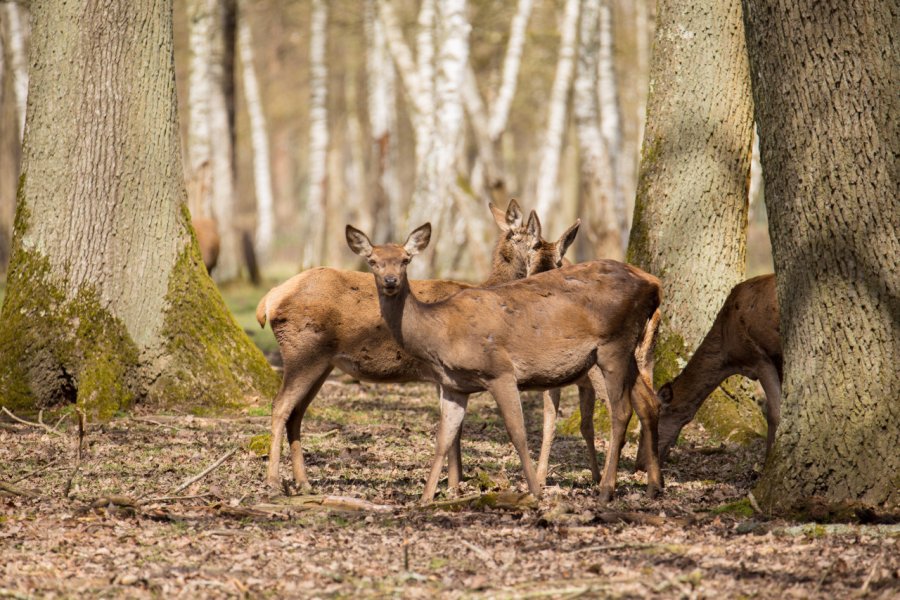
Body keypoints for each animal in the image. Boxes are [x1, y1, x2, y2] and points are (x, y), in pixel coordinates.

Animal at [256, 202, 580, 492]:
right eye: (537, 242)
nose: (552, 269)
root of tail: (269, 299)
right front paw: (454, 485)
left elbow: (454, 429)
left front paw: (454, 483)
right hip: (302, 351)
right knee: (280, 406)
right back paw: (273, 483)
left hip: (322, 362)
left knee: (296, 413)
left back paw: (303, 483)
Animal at [348, 220, 664, 502]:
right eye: (373, 261)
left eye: (405, 260)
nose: (390, 282)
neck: (440, 332)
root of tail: (655, 286)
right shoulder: (454, 386)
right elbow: (443, 439)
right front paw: (425, 499)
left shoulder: (499, 371)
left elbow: (518, 433)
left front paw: (535, 491)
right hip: (627, 351)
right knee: (648, 401)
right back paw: (653, 486)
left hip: (613, 345)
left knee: (620, 410)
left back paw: (607, 490)